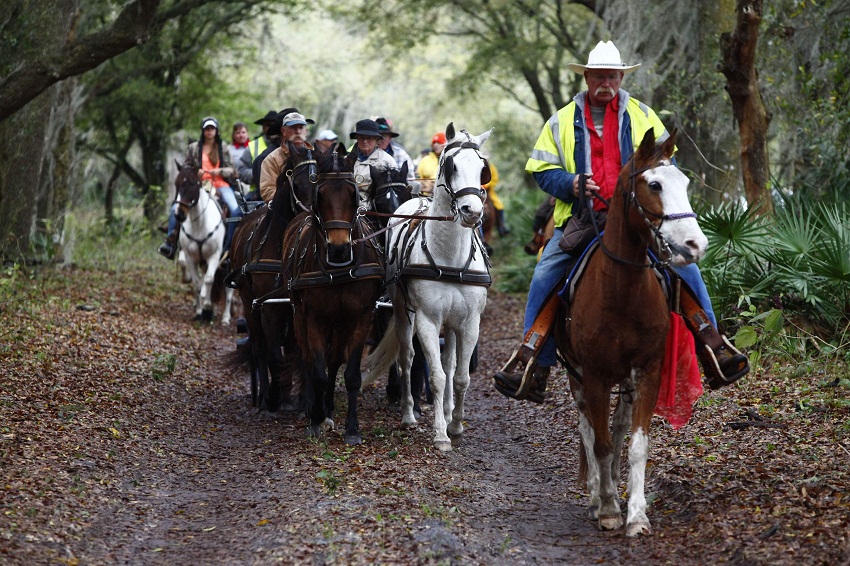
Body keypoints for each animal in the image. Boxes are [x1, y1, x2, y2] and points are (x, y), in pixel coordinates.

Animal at [171, 162, 234, 326]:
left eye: (193, 183)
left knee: (229, 289)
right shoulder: (190, 257)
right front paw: (200, 311)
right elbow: (197, 284)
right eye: (176, 183)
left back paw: (226, 318)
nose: (179, 214)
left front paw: (206, 305)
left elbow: (208, 279)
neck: (200, 224)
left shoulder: (215, 256)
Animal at [224, 143, 316, 412]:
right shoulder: (268, 307)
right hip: (249, 304)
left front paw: (305, 399)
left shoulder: (297, 306)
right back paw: (266, 395)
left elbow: (300, 352)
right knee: (259, 347)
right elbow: (273, 353)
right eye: (298, 183)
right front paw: (276, 395)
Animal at [280, 146, 382, 448]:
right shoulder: (313, 317)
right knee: (307, 356)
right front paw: (315, 419)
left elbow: (350, 375)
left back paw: (328, 407)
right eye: (321, 194)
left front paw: (352, 428)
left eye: (353, 194)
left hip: (340, 323)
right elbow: (317, 370)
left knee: (335, 359)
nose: (338, 248)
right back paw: (315, 408)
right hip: (299, 314)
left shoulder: (361, 317)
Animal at [364, 124, 490, 452]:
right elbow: (436, 375)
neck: (450, 257)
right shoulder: (427, 320)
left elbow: (459, 377)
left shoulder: (469, 323)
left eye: (482, 168)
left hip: (453, 323)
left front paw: (455, 424)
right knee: (407, 357)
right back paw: (409, 413)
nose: (472, 211)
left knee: (450, 362)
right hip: (401, 311)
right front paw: (441, 434)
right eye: (451, 165)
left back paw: (446, 409)